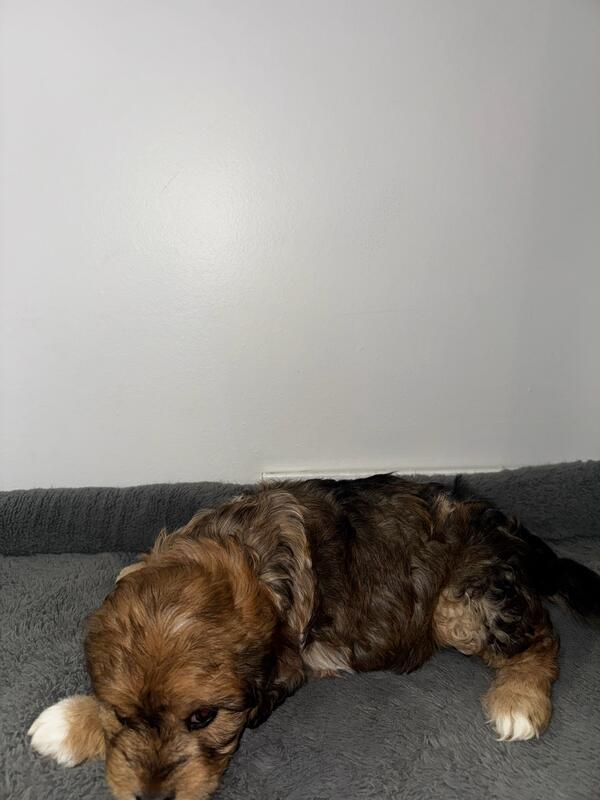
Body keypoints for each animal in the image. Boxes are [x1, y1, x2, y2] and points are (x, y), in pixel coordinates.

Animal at [28, 474, 600, 800]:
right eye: (122, 716)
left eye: (202, 718)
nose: (151, 799)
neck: (243, 555)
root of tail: (508, 526)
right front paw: (71, 721)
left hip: (462, 602)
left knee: (541, 634)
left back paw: (519, 700)